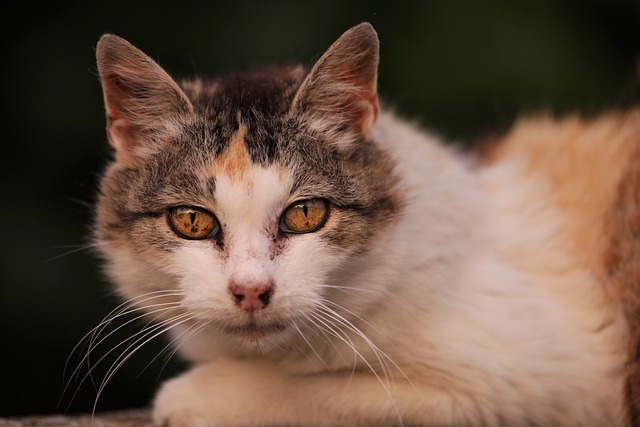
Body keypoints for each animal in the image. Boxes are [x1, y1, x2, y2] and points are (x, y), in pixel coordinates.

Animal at [91, 23, 640, 427]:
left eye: (305, 214)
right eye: (191, 220)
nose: (250, 290)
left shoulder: (536, 381)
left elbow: (328, 392)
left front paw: (199, 395)